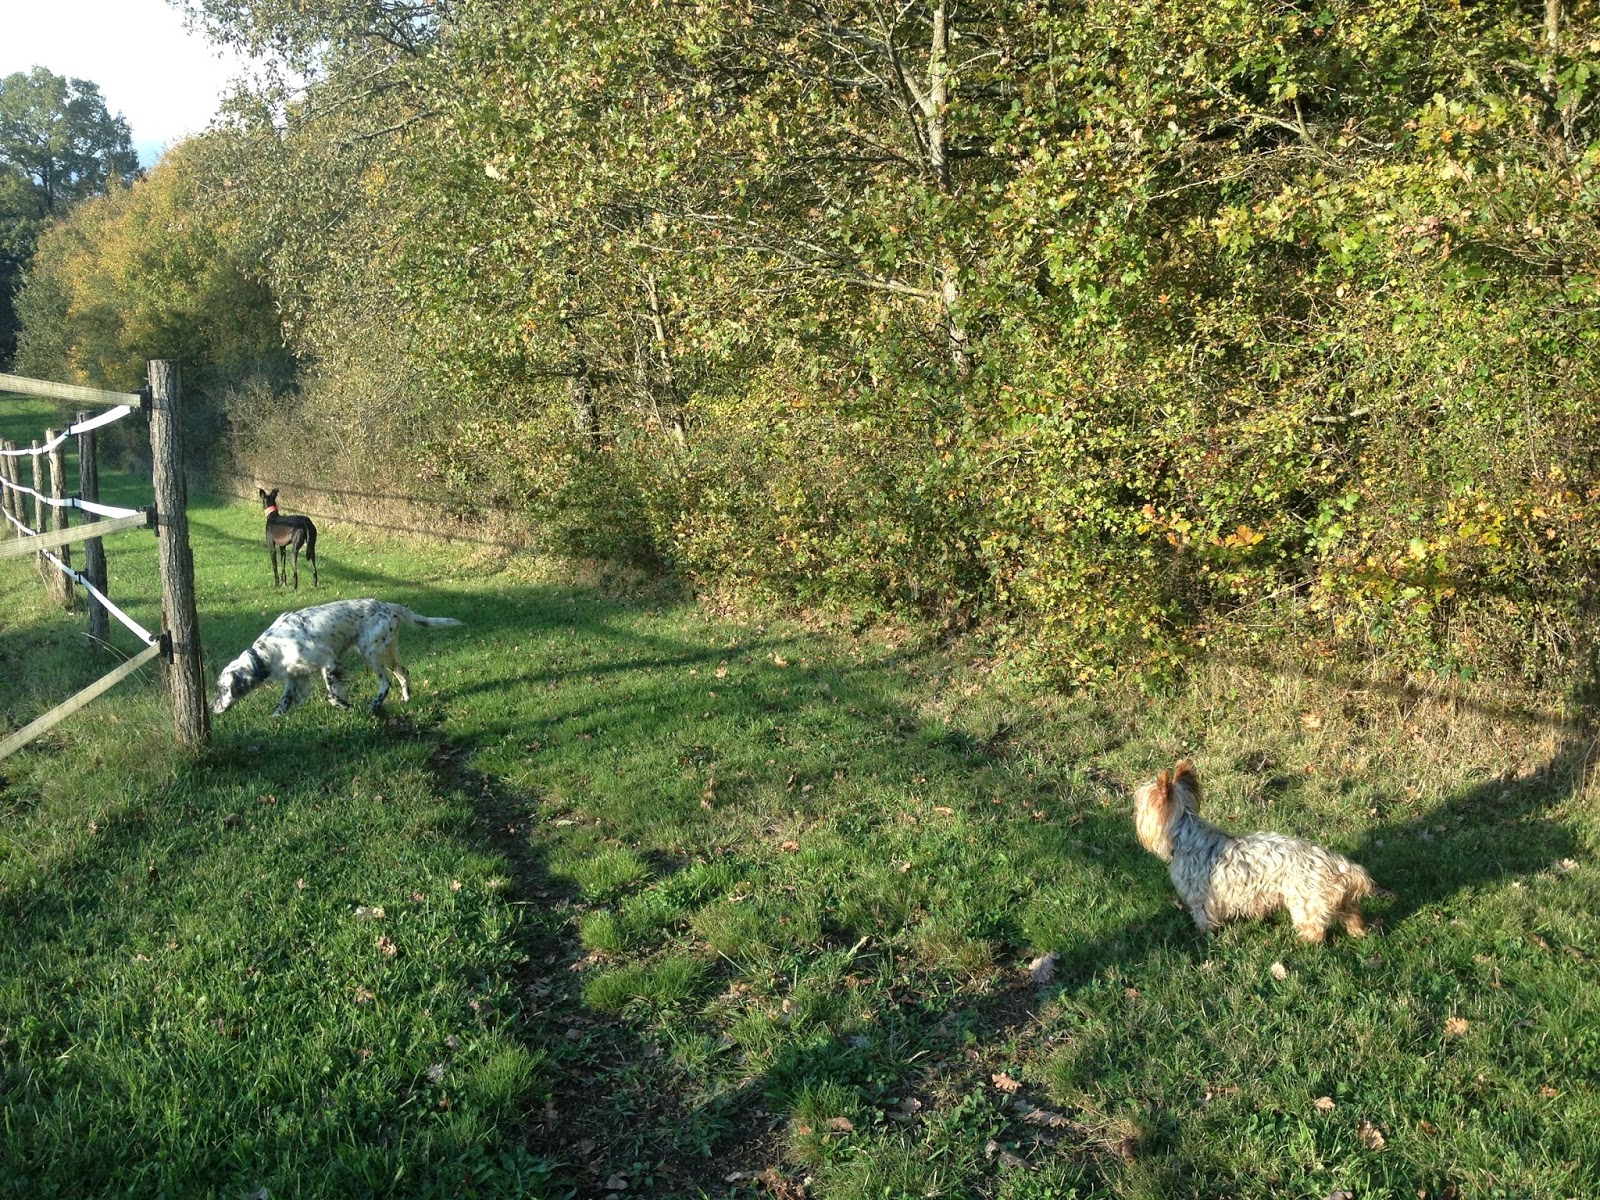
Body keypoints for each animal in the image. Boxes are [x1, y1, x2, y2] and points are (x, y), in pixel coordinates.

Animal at [212, 598, 464, 713]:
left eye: (222, 689)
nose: (212, 708)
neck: (271, 648)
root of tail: (389, 606)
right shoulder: (295, 675)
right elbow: (285, 699)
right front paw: (276, 717)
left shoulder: (327, 661)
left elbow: (332, 694)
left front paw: (346, 706)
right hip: (387, 650)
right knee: (403, 672)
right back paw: (406, 698)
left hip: (370, 651)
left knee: (386, 681)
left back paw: (374, 705)